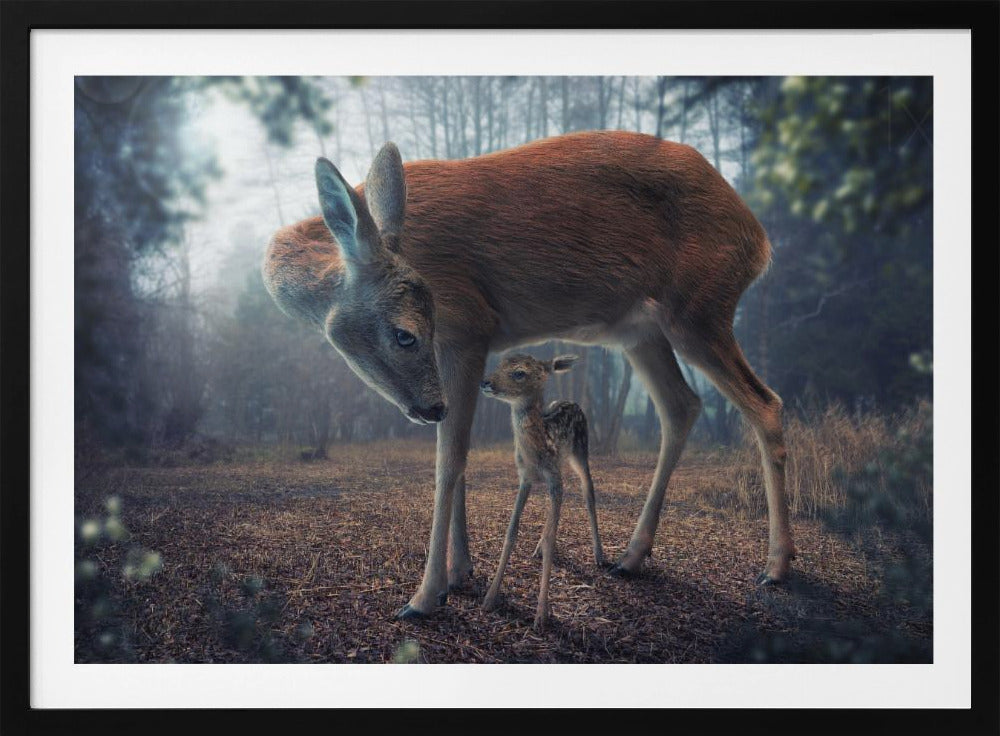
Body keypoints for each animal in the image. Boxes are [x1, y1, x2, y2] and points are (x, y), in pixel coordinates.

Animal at [479, 353, 603, 630]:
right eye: (500, 363)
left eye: (519, 373)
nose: (485, 382)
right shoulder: (524, 478)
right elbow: (511, 530)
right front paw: (490, 598)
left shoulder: (554, 478)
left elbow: (552, 538)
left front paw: (541, 615)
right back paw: (537, 549)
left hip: (581, 451)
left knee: (588, 492)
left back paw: (600, 555)